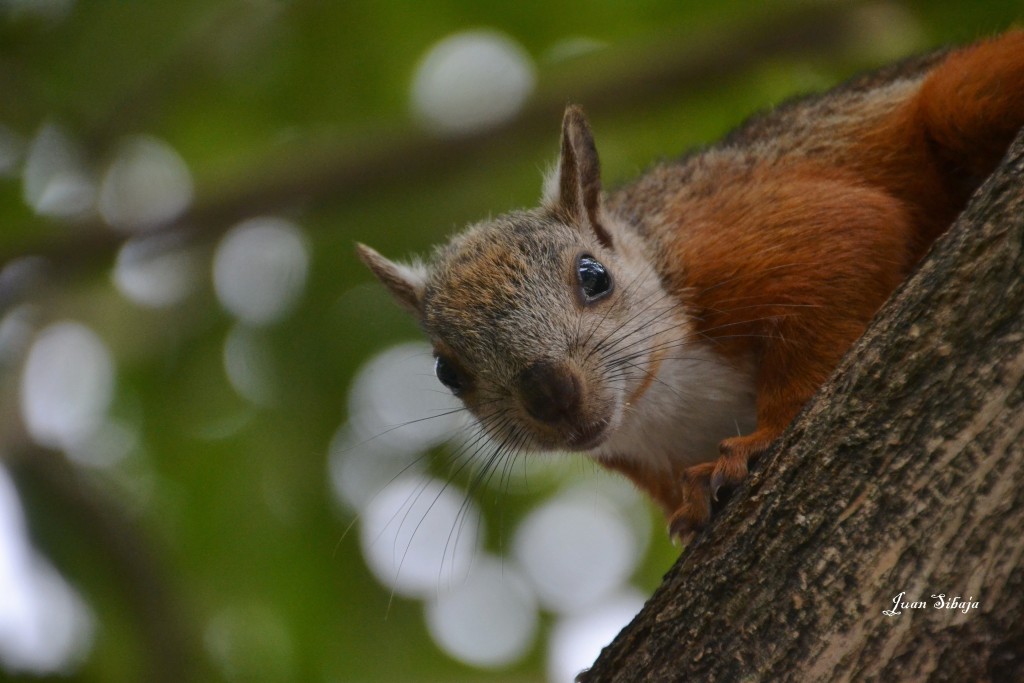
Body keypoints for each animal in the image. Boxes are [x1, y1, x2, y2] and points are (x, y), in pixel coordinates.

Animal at [357, 31, 1024, 540]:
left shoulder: (753, 240)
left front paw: (759, 439)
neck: (662, 401)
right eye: (446, 371)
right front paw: (690, 503)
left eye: (593, 277)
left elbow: (851, 241)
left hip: (960, 95)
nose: (550, 394)